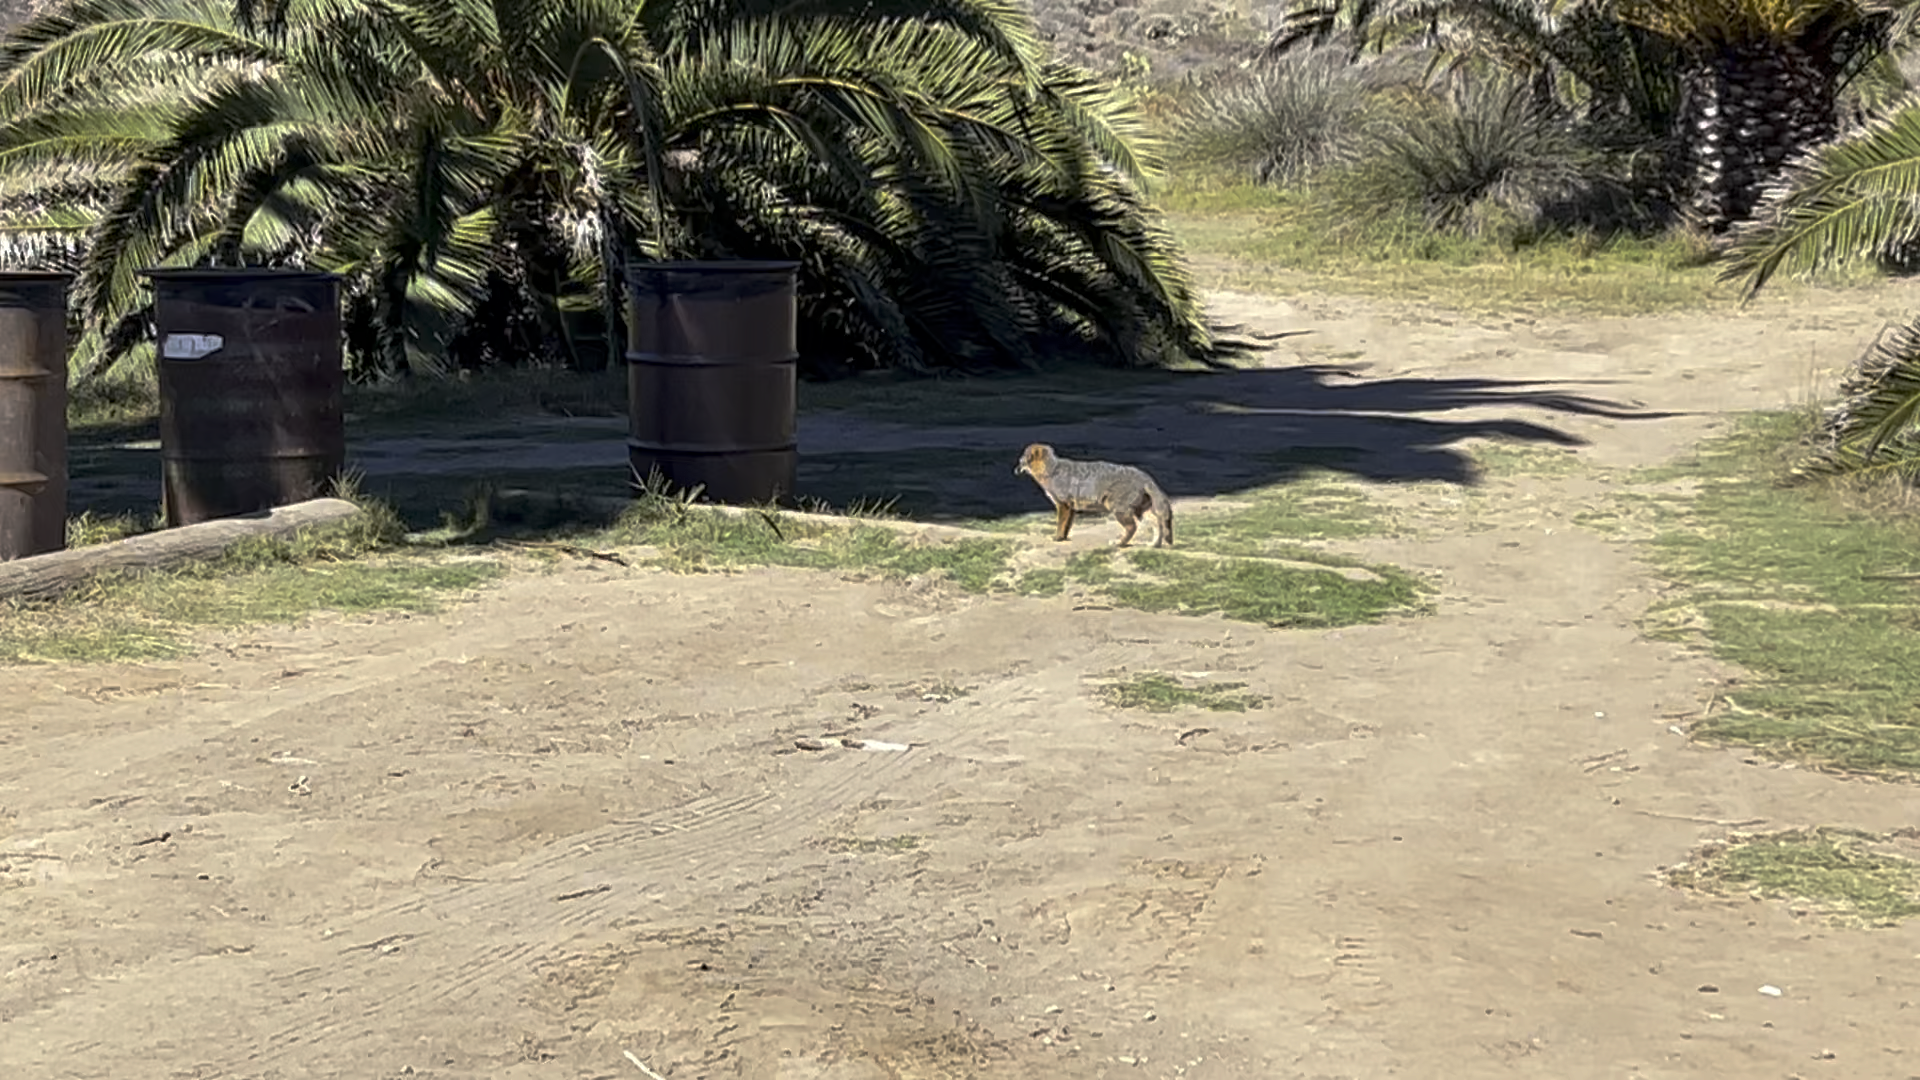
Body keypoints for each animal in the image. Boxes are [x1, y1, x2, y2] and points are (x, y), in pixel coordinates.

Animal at [1014, 443, 1174, 549]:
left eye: (1020, 462)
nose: (1014, 470)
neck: (1052, 469)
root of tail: (1144, 475)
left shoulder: (1063, 505)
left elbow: (1060, 524)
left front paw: (1057, 538)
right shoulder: (1071, 508)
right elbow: (1066, 526)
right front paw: (1063, 538)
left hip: (1118, 509)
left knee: (1132, 527)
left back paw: (1120, 543)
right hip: (1140, 512)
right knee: (1158, 524)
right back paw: (1154, 544)